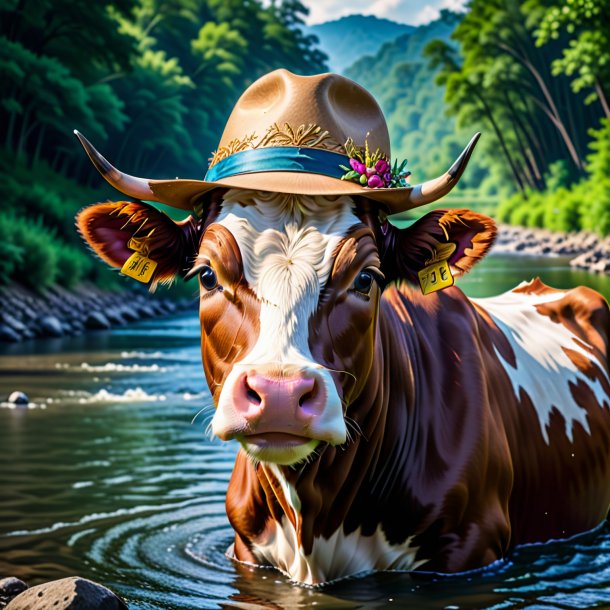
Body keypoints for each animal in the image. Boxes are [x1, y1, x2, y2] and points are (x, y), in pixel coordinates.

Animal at [73, 67, 608, 584]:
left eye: (366, 279)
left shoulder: (471, 546)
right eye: (207, 275)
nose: (280, 394)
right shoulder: (246, 550)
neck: (316, 514)